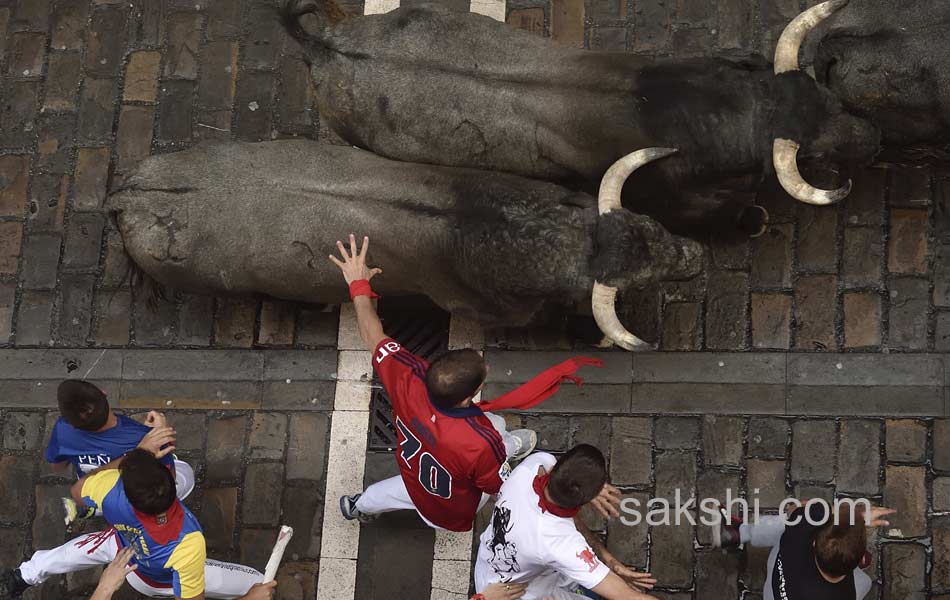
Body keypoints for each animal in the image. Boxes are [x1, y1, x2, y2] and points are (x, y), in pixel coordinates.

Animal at [280, 0, 884, 232]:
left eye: (826, 96)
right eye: (815, 148)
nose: (872, 136)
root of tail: (324, 45)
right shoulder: (665, 199)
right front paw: (749, 219)